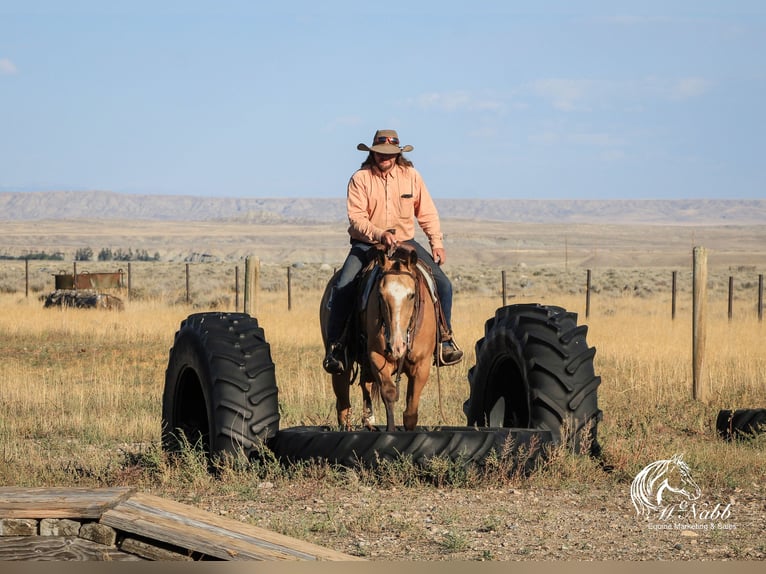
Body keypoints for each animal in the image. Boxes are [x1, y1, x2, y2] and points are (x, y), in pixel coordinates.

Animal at [318, 243, 438, 432]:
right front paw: (390, 429)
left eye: (411, 295)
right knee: (342, 398)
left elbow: (411, 413)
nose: (397, 346)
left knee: (364, 385)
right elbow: (389, 393)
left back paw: (369, 420)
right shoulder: (377, 356)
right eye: (380, 295)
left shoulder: (422, 364)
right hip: (342, 363)